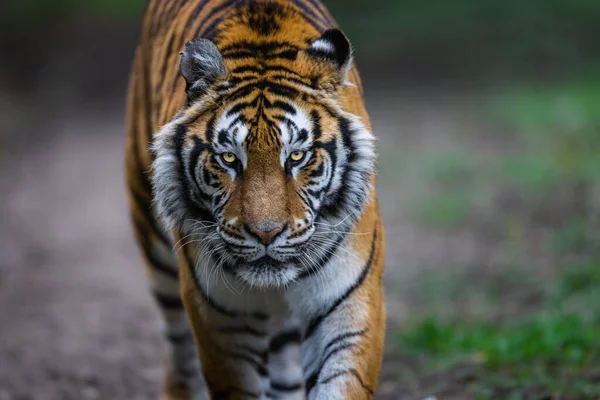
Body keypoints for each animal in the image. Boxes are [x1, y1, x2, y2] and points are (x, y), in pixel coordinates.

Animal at [125, 0, 390, 396]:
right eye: (229, 158)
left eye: (297, 156)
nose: (266, 233)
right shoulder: (223, 320)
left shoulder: (348, 303)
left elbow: (342, 382)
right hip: (154, 242)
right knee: (178, 345)